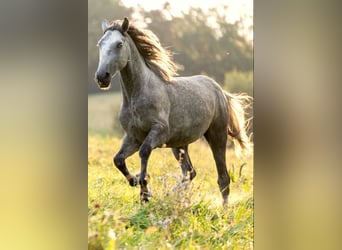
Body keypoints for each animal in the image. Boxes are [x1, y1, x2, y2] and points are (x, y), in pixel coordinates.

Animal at [94, 17, 251, 205]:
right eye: (100, 44)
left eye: (119, 44)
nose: (102, 77)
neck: (136, 95)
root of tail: (220, 90)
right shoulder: (133, 137)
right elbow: (118, 160)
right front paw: (137, 182)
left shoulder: (158, 132)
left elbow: (144, 152)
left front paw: (145, 191)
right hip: (179, 145)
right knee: (190, 172)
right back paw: (176, 195)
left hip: (217, 137)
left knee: (223, 179)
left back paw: (221, 209)